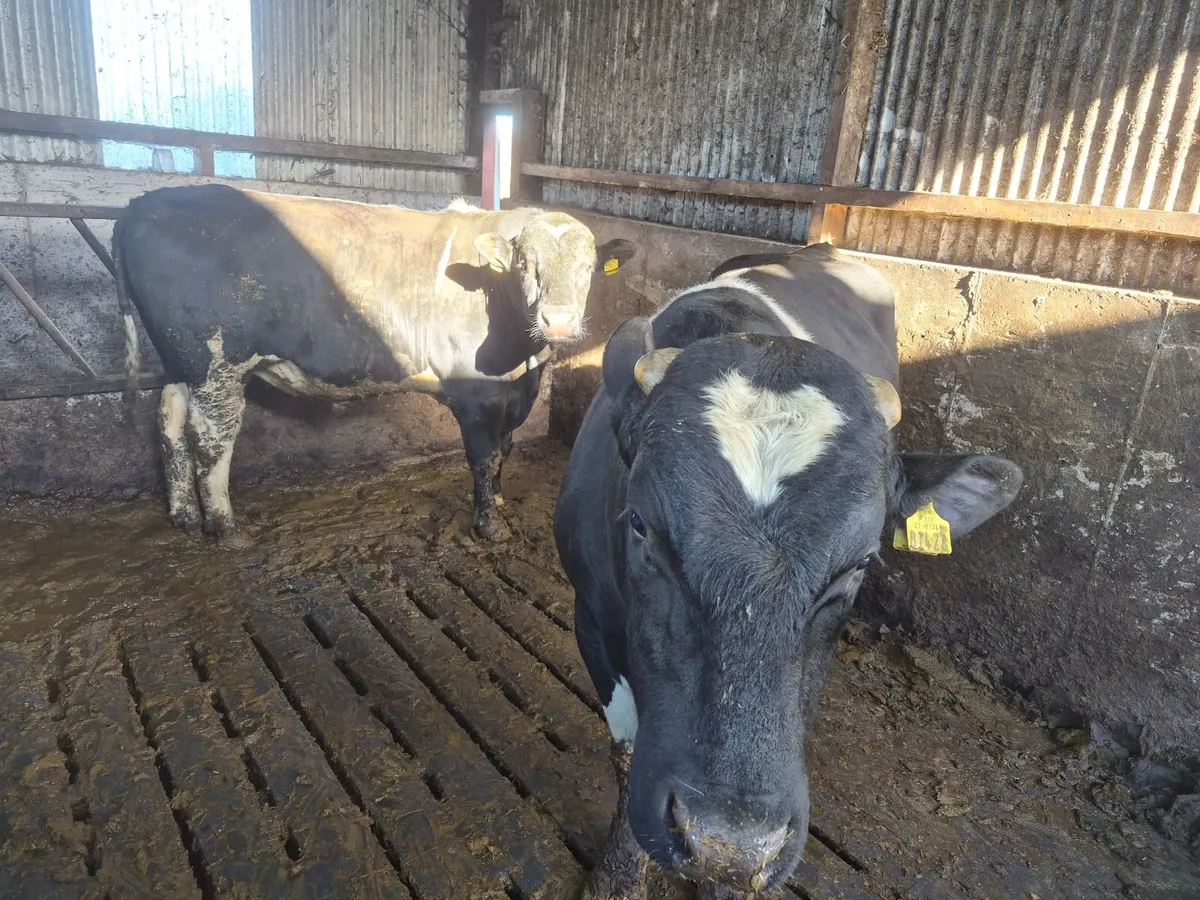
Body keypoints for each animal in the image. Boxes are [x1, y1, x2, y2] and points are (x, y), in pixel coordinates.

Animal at [112, 185, 635, 539]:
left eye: (588, 267)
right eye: (526, 264)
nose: (559, 321)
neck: (524, 363)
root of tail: (141, 202)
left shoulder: (512, 393)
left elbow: (504, 451)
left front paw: (501, 503)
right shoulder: (477, 394)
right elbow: (484, 456)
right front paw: (489, 525)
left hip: (181, 360)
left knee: (170, 422)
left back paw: (183, 515)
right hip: (217, 362)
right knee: (211, 439)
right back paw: (223, 527)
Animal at [554, 244, 1023, 898]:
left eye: (861, 561)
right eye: (640, 525)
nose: (731, 843)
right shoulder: (591, 618)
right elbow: (625, 756)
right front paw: (616, 880)